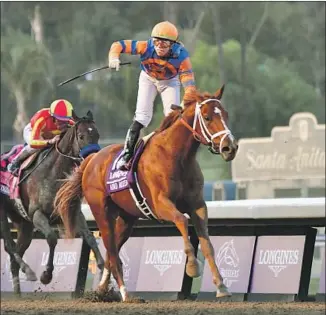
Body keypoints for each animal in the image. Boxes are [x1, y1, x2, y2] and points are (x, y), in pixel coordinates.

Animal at [0, 111, 104, 296]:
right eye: (81, 136)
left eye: (97, 134)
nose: (93, 158)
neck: (53, 173)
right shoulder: (37, 215)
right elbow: (52, 238)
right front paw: (46, 275)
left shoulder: (73, 212)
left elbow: (90, 237)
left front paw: (103, 268)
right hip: (4, 215)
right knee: (10, 247)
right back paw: (29, 271)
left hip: (24, 225)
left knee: (14, 258)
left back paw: (18, 294)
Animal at [54, 86, 238, 302]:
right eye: (208, 117)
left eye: (225, 114)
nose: (230, 147)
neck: (176, 155)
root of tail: (92, 159)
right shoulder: (160, 205)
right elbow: (182, 220)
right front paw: (193, 265)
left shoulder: (198, 205)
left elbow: (207, 244)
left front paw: (221, 286)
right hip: (102, 213)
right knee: (113, 252)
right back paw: (125, 293)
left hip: (127, 218)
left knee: (111, 252)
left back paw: (102, 290)